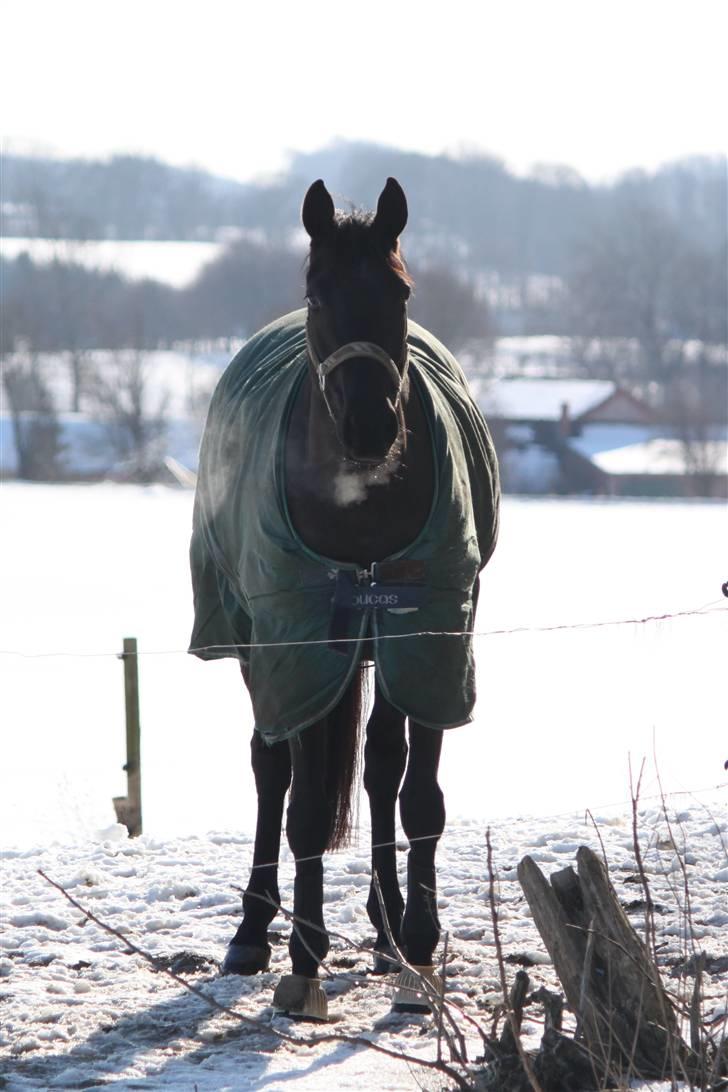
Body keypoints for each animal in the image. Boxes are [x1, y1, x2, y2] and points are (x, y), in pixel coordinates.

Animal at [187, 174, 502, 1017]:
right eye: (318, 292)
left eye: (401, 291)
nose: (369, 426)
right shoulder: (297, 640)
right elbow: (299, 807)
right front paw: (303, 955)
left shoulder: (427, 636)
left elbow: (417, 794)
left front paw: (419, 940)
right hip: (258, 640)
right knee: (270, 768)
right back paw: (253, 930)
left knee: (380, 766)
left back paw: (387, 926)